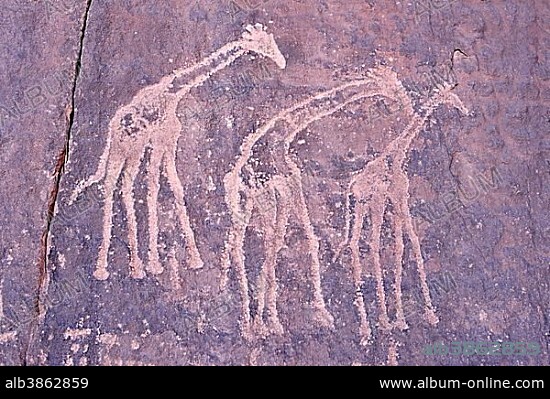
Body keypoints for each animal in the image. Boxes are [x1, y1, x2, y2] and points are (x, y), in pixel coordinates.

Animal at [69, 24, 286, 282]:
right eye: (263, 43)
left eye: (271, 40)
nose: (282, 62)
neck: (173, 92)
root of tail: (113, 127)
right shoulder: (159, 139)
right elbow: (153, 188)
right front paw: (155, 263)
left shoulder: (169, 140)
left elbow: (175, 186)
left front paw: (193, 258)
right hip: (123, 150)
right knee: (112, 185)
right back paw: (105, 268)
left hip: (133, 151)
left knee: (125, 185)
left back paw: (134, 266)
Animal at [222, 66, 408, 340]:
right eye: (390, 86)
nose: (404, 102)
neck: (283, 133)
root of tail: (233, 179)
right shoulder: (288, 187)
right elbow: (297, 242)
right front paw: (314, 315)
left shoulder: (287, 190)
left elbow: (293, 242)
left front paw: (271, 320)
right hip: (255, 202)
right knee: (244, 245)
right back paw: (251, 321)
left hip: (254, 205)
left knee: (240, 244)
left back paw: (247, 315)